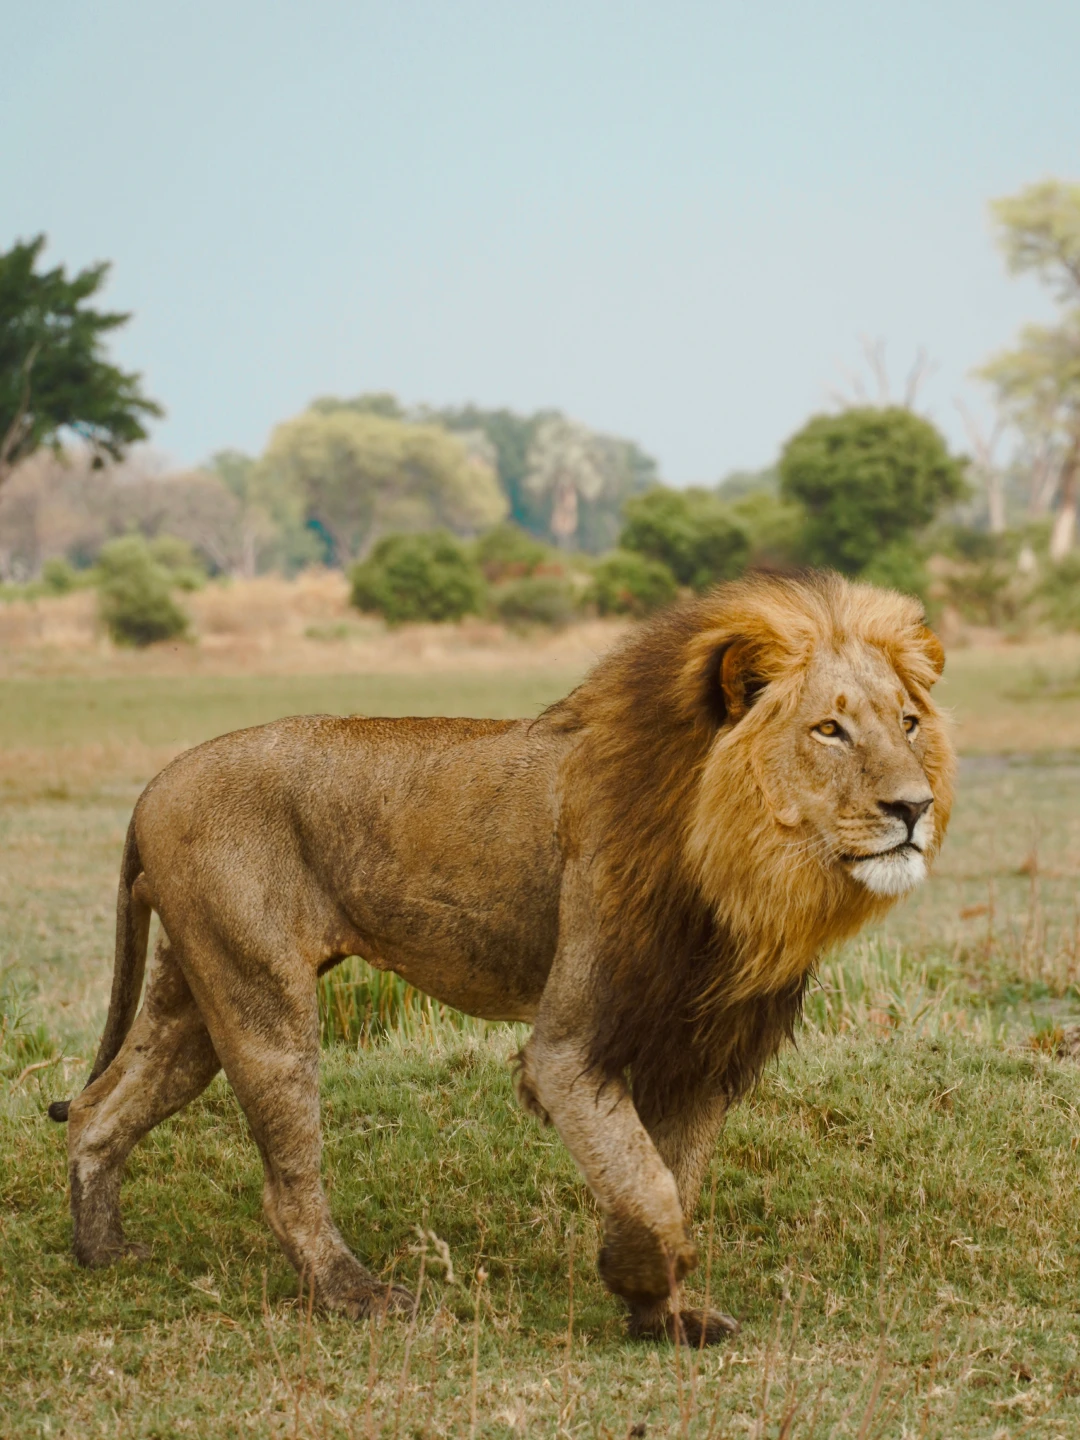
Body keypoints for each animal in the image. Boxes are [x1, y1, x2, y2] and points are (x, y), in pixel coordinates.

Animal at [49, 571, 953, 1344]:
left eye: (908, 723)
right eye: (829, 729)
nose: (915, 807)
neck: (740, 869)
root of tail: (154, 785)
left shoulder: (704, 1048)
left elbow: (673, 1178)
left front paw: (666, 1314)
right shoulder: (572, 1046)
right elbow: (649, 1187)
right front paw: (637, 1280)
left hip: (195, 992)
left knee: (100, 1111)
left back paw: (103, 1253)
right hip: (262, 998)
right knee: (286, 1178)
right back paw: (354, 1294)